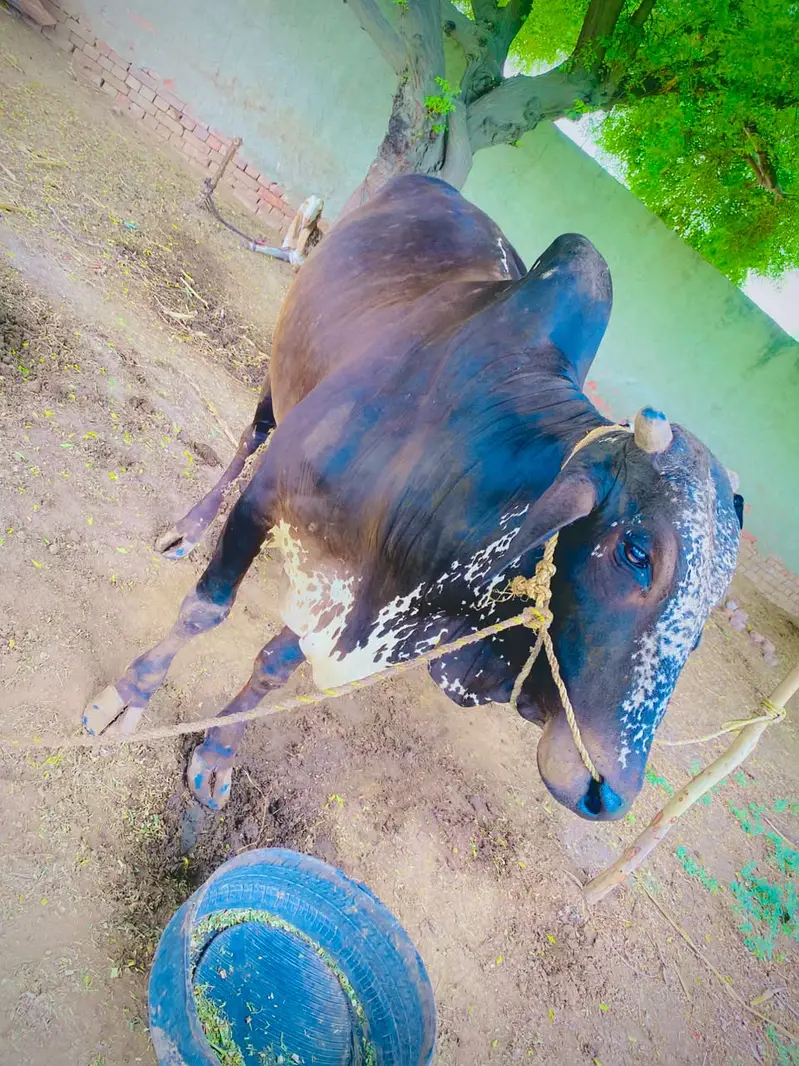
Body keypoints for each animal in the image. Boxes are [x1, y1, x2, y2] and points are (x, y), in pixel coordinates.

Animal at [84, 175, 741, 820]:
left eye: (710, 611)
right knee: (251, 436)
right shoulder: (267, 497)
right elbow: (205, 610)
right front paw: (125, 700)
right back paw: (188, 528)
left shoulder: (348, 599)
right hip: (280, 374)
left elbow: (274, 666)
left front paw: (219, 753)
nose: (609, 793)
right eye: (636, 552)